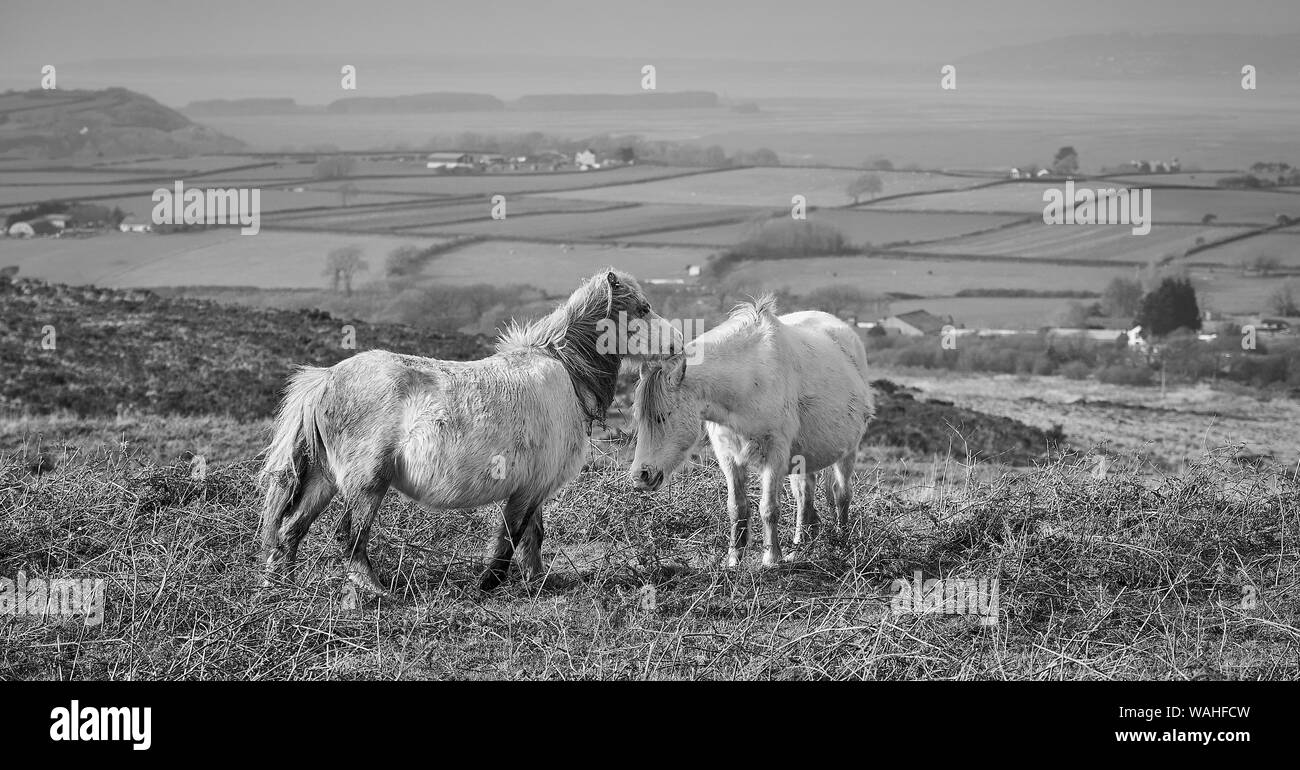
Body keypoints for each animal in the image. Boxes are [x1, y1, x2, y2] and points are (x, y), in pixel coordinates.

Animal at [254, 267, 681, 593]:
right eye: (643, 308)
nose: (678, 345)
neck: (563, 371)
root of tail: (325, 379)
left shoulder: (536, 485)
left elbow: (533, 536)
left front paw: (535, 582)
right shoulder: (527, 489)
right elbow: (511, 536)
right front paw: (487, 585)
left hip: (323, 479)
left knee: (291, 529)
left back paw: (283, 587)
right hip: (366, 483)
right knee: (350, 535)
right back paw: (375, 590)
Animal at [629, 297, 873, 569]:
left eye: (664, 416)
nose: (641, 476)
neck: (749, 382)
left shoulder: (774, 457)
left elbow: (769, 508)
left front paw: (771, 557)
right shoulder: (729, 458)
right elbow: (737, 507)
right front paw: (734, 558)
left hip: (848, 453)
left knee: (841, 494)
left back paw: (841, 544)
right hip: (803, 458)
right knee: (804, 497)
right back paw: (800, 548)